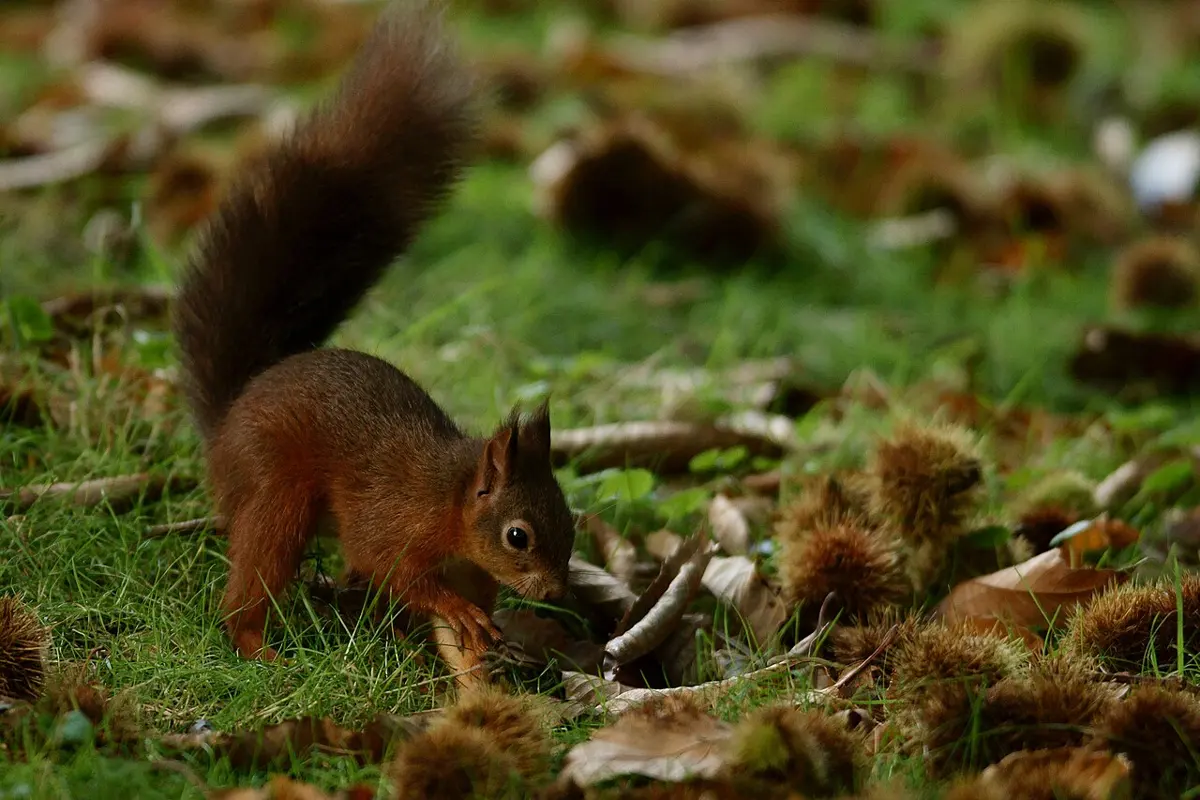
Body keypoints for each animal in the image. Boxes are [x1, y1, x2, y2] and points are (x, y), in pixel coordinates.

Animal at [172, 0, 576, 683]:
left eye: (569, 517)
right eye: (517, 536)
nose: (555, 592)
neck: (449, 497)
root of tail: (226, 420)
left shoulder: (470, 565)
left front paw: (482, 639)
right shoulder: (393, 519)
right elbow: (385, 560)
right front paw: (453, 611)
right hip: (276, 488)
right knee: (257, 569)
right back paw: (256, 643)